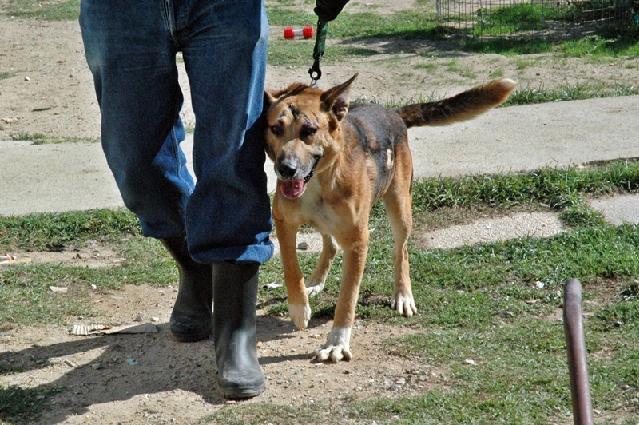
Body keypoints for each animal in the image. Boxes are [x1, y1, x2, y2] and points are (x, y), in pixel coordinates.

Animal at [262, 75, 516, 362]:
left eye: (309, 131)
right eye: (276, 128)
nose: (285, 169)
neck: (321, 180)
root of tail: (392, 112)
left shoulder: (358, 241)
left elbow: (347, 297)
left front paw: (337, 342)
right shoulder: (283, 221)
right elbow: (291, 267)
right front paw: (299, 308)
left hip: (401, 209)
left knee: (401, 252)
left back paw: (403, 295)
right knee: (330, 243)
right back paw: (315, 282)